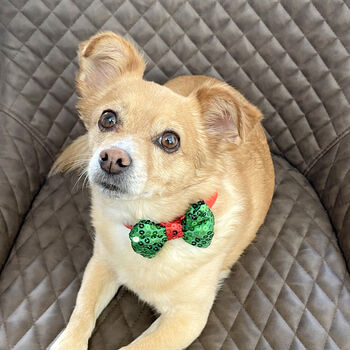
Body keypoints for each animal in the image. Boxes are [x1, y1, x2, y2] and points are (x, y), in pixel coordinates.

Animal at [50, 31, 274, 348]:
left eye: (170, 141)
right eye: (107, 119)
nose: (112, 158)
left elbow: (134, 347)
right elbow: (81, 313)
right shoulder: (100, 264)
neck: (145, 224)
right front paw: (66, 342)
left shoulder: (186, 320)